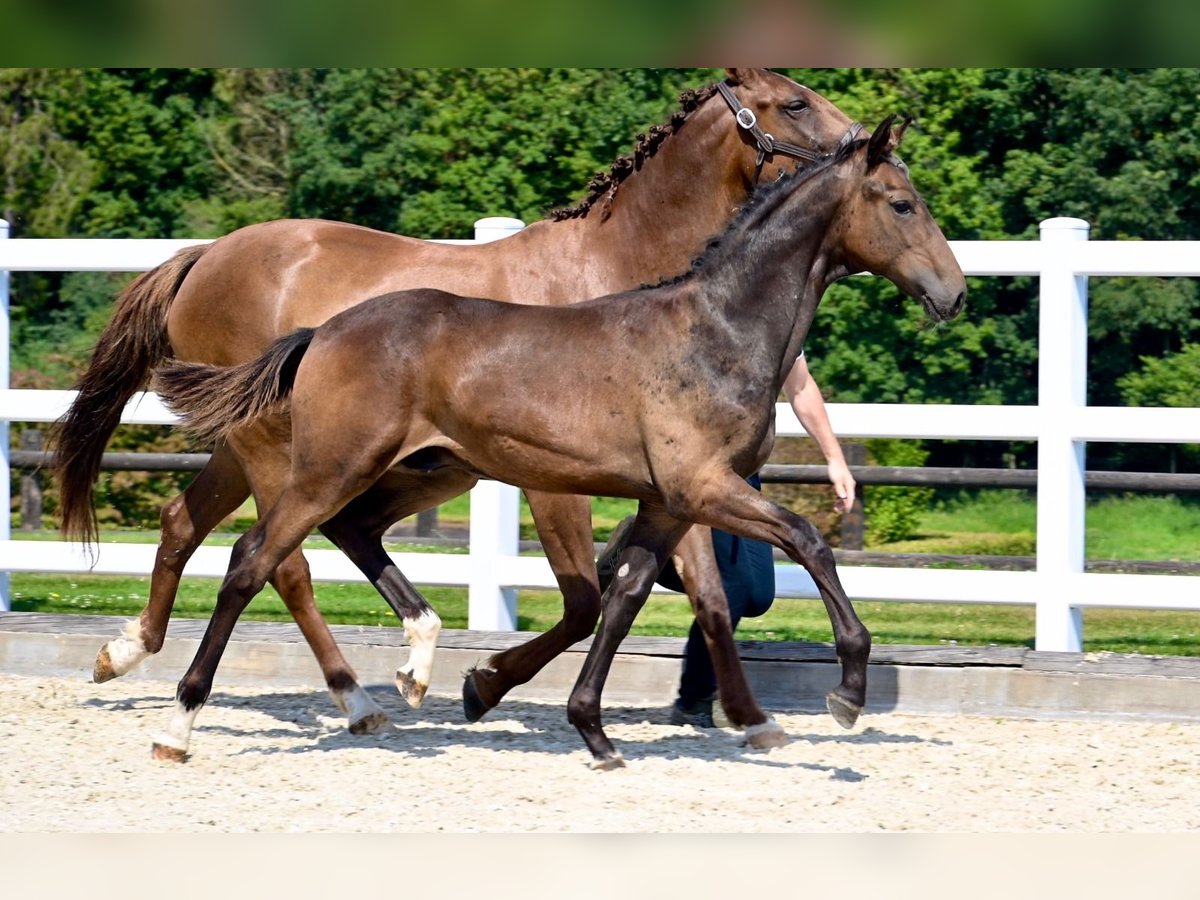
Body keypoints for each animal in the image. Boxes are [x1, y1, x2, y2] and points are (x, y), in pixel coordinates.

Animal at [56, 68, 864, 734]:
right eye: (795, 103)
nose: (864, 144)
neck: (623, 276)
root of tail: (204, 258)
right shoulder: (563, 481)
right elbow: (587, 600)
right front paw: (484, 685)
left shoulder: (672, 476)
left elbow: (701, 595)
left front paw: (751, 715)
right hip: (282, 454)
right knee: (281, 563)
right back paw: (357, 698)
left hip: (263, 447)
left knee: (184, 522)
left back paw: (127, 652)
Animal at [154, 118, 969, 768]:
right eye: (902, 203)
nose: (954, 294)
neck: (717, 327)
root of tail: (323, 330)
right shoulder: (702, 485)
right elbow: (809, 539)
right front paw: (849, 690)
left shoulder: (669, 503)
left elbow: (626, 595)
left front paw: (589, 730)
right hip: (332, 466)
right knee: (253, 560)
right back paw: (181, 724)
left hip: (423, 468)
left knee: (342, 532)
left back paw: (416, 666)